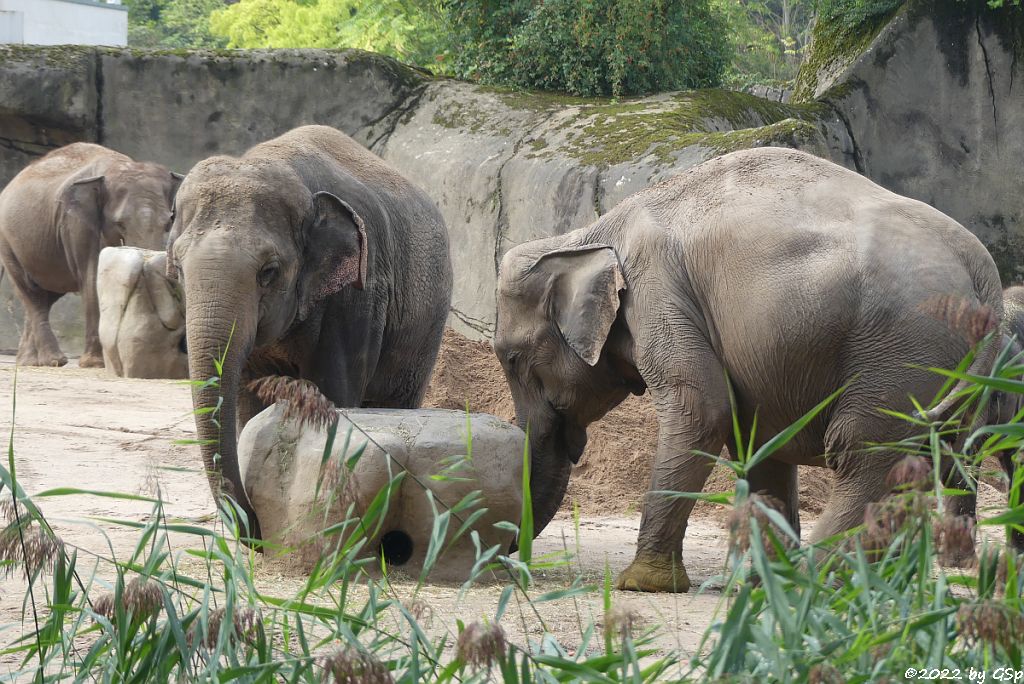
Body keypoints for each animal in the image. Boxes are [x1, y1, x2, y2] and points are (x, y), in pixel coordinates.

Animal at [0, 144, 181, 368]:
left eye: (168, 223)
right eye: (119, 223)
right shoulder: (76, 221)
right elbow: (91, 275)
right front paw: (95, 363)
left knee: (47, 295)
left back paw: (30, 362)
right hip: (7, 242)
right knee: (31, 292)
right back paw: (54, 360)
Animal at [168, 124, 452, 540]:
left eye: (268, 272)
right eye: (177, 268)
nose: (254, 530)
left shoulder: (359, 297)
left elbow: (334, 393)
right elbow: (248, 402)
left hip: (426, 328)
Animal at [491, 145, 1003, 593]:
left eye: (512, 359)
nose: (511, 559)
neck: (585, 235)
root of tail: (982, 266)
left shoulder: (659, 291)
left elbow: (703, 412)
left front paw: (642, 584)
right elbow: (759, 442)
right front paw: (761, 582)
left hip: (902, 349)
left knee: (865, 452)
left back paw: (816, 580)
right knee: (939, 458)